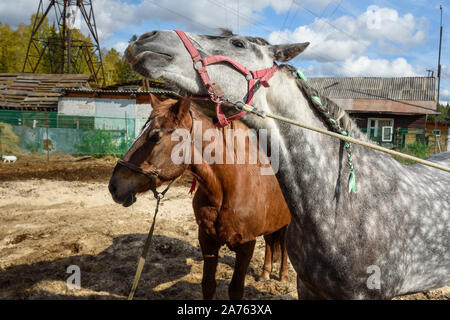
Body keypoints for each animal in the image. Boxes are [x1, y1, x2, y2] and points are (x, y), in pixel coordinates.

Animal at [110, 95, 292, 300]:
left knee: (283, 246)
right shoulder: (207, 240)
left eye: (155, 136)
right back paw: (265, 273)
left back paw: (283, 275)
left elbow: (236, 289)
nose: (114, 186)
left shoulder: (246, 245)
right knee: (270, 242)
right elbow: (208, 285)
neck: (226, 190)